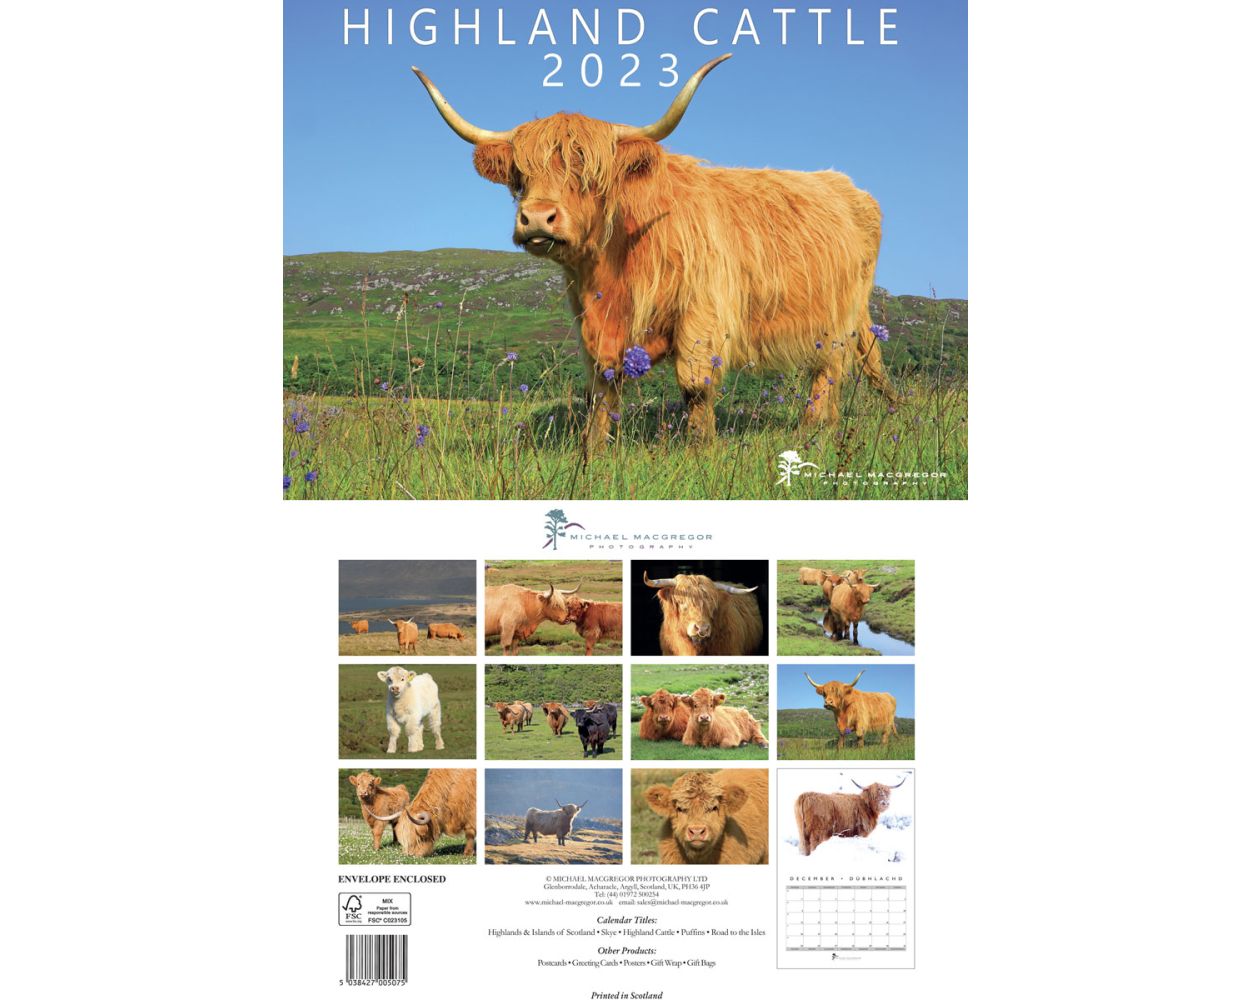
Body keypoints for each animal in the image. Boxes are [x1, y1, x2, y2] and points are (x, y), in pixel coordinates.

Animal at [412, 56, 895, 453]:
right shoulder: (594, 326)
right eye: (520, 176)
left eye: (589, 175)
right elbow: (602, 387)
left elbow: (695, 386)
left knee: (828, 372)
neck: (615, 268)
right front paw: (593, 451)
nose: (536, 218)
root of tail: (843, 183)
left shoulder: (703, 312)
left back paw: (812, 430)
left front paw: (702, 451)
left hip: (838, 319)